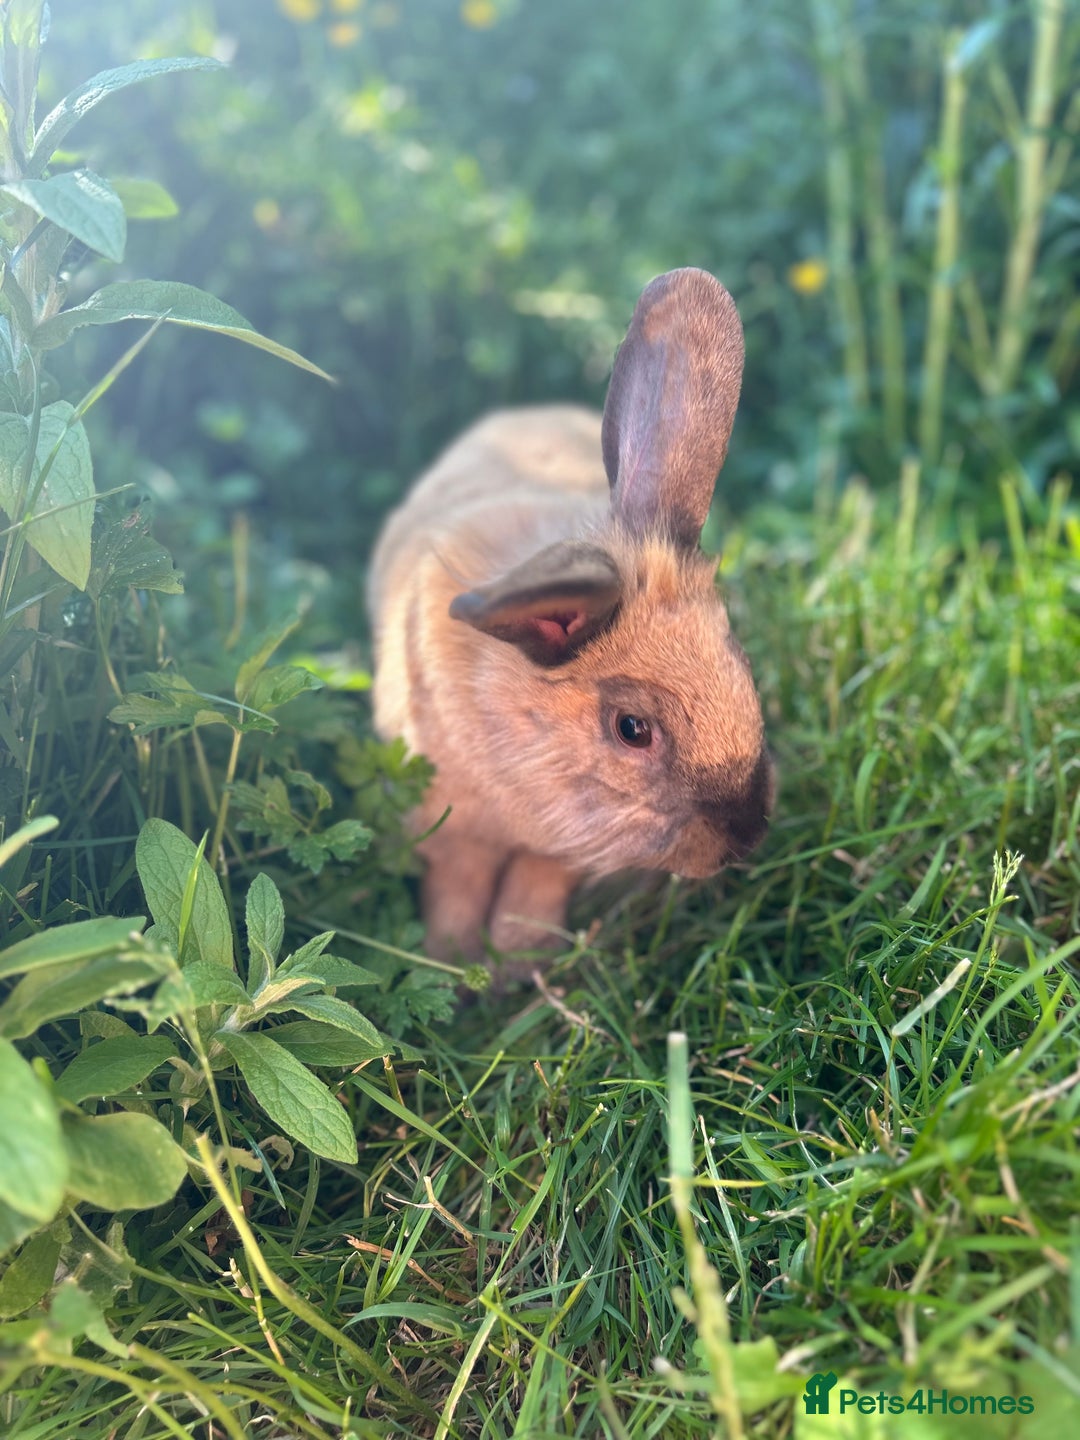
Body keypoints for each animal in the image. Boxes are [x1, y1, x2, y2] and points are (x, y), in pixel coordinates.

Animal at [367, 267, 773, 964]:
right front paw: (454, 965)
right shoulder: (452, 834)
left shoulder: (554, 856)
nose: (745, 838)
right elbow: (457, 890)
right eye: (632, 729)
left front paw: (516, 966)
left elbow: (534, 890)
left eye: (741, 664)